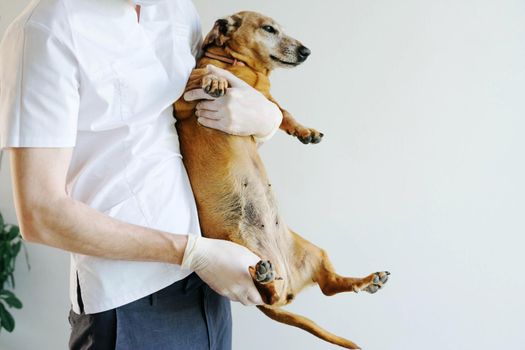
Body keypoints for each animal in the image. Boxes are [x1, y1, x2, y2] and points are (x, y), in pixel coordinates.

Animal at [174, 10, 386, 350]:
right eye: (269, 29)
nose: (306, 51)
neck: (245, 69)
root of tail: (287, 281)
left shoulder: (267, 100)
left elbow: (281, 111)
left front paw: (305, 131)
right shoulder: (183, 103)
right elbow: (201, 74)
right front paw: (214, 79)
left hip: (315, 251)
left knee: (328, 285)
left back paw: (365, 281)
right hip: (238, 259)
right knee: (272, 294)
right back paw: (264, 278)